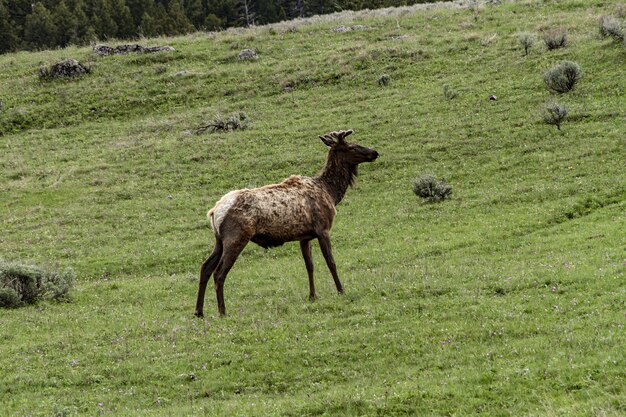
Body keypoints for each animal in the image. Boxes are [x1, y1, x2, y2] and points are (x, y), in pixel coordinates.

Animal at [195, 129, 378, 316]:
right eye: (351, 146)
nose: (374, 152)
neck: (331, 193)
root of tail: (214, 212)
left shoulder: (305, 236)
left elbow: (309, 265)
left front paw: (312, 296)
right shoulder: (323, 229)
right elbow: (331, 262)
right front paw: (341, 290)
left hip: (219, 240)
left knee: (205, 267)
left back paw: (199, 311)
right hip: (236, 237)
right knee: (219, 272)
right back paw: (222, 312)